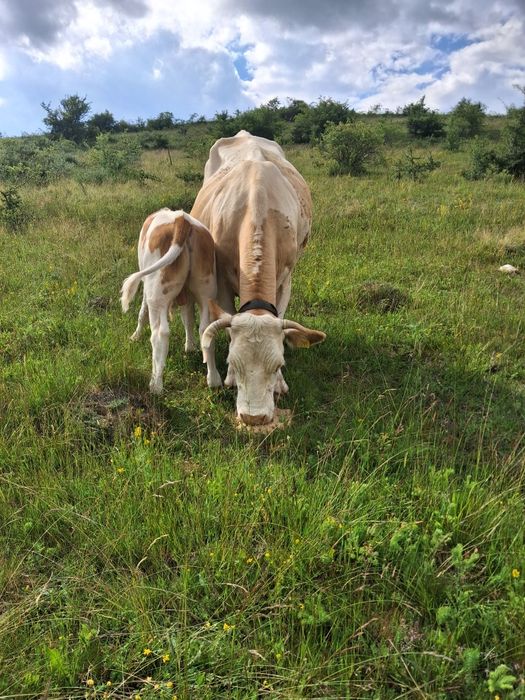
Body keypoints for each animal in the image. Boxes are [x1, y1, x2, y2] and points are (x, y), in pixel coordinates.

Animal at [120, 208, 221, 393]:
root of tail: (182, 220)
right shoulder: (187, 296)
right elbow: (188, 318)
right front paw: (190, 347)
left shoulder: (147, 289)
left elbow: (142, 313)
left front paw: (135, 336)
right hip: (206, 291)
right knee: (206, 329)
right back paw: (214, 379)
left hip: (157, 295)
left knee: (160, 334)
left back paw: (156, 384)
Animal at [191, 130, 326, 426]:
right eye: (232, 363)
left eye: (278, 365)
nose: (254, 418)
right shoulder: (222, 285)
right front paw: (228, 379)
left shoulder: (285, 279)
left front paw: (281, 384)